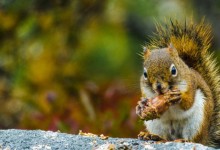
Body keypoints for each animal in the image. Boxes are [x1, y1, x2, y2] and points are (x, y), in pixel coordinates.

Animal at [136, 18, 220, 148]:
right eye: (145, 74)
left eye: (173, 70)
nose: (159, 87)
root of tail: (206, 138)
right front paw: (141, 105)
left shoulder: (191, 84)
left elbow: (188, 103)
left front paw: (178, 97)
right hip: (155, 125)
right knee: (164, 137)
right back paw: (151, 136)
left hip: (197, 122)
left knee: (194, 139)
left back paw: (183, 140)